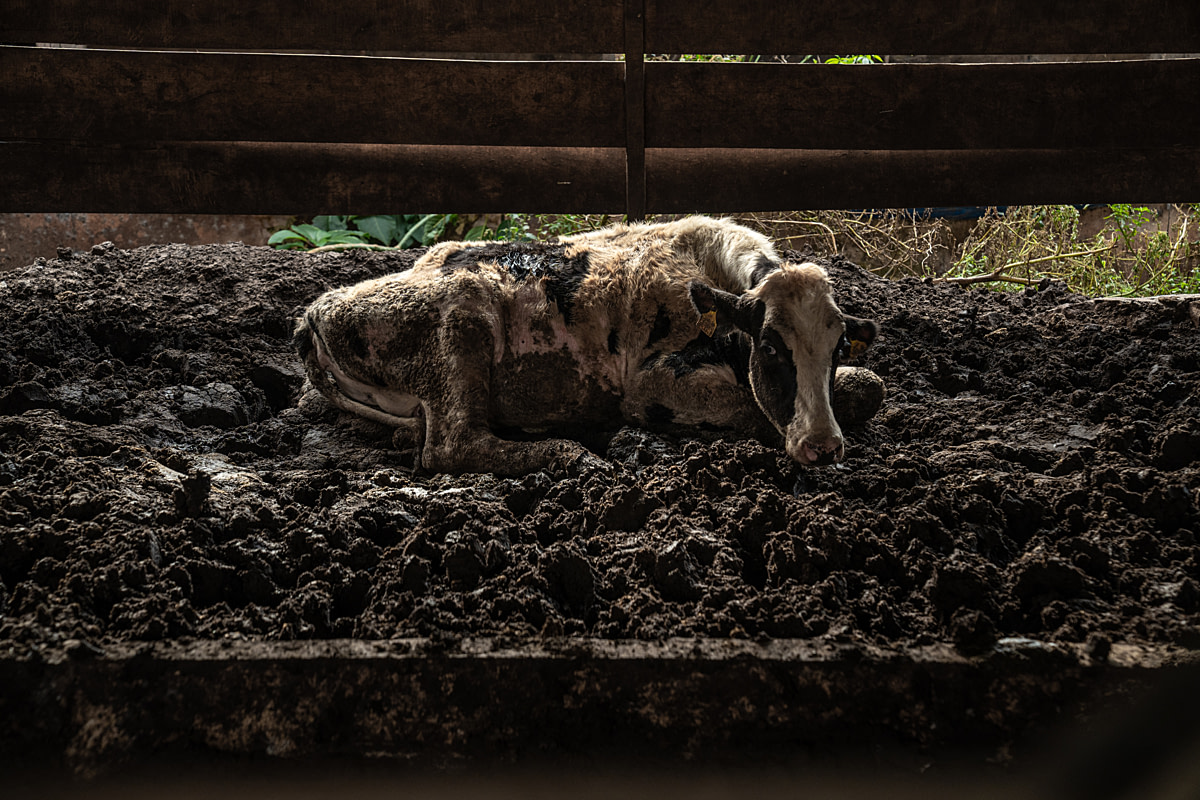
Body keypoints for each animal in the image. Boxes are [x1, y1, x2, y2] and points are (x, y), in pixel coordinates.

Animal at [295, 216, 881, 475]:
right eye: (773, 349)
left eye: (837, 351)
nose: (823, 446)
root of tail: (314, 313)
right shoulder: (650, 385)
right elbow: (747, 407)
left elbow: (871, 386)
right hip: (462, 321)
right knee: (451, 445)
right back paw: (570, 452)